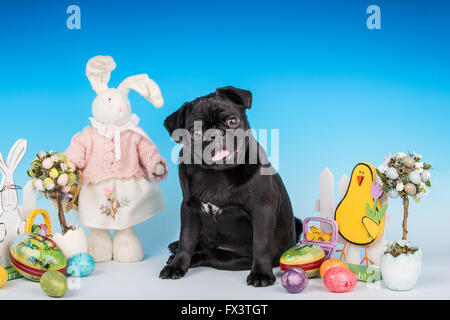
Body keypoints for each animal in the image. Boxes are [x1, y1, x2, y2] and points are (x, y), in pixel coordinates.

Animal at [159, 85, 302, 288]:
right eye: (195, 132)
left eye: (232, 121)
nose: (215, 134)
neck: (217, 174)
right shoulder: (189, 208)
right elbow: (186, 239)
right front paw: (177, 265)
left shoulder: (262, 209)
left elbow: (261, 243)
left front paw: (261, 273)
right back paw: (175, 249)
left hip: (233, 260)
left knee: (209, 256)